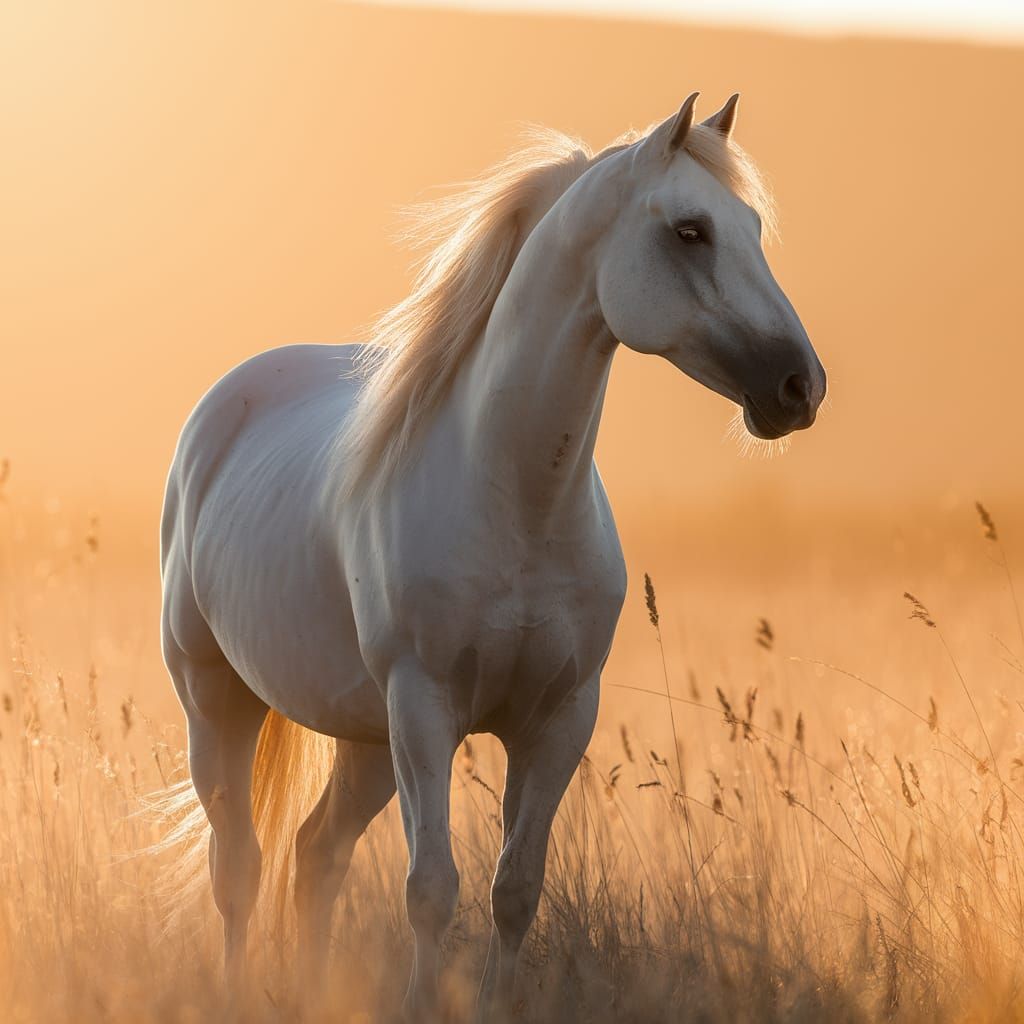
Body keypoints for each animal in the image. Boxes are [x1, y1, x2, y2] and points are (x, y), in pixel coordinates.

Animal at [160, 91, 826, 1020]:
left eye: (753, 226)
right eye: (690, 230)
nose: (800, 387)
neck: (518, 502)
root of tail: (223, 408)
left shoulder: (557, 721)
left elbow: (515, 888)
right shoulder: (426, 709)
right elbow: (431, 889)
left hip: (367, 741)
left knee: (316, 856)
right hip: (220, 701)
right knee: (240, 868)